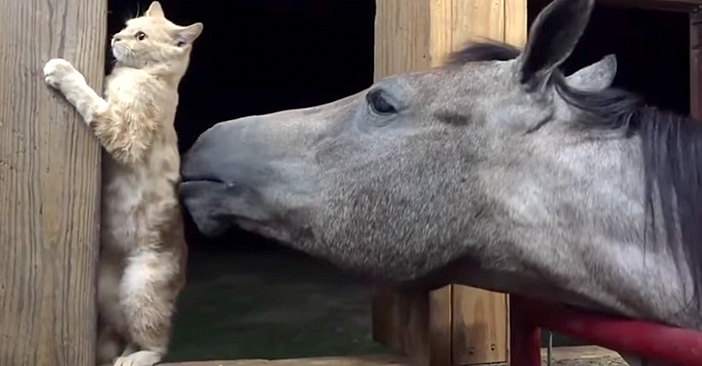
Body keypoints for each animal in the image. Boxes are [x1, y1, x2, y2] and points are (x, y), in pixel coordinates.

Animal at [43, 1, 204, 364]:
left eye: (140, 36)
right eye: (126, 27)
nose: (115, 36)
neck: (145, 76)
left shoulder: (123, 134)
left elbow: (90, 99)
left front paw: (62, 72)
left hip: (141, 290)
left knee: (157, 343)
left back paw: (137, 357)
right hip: (108, 293)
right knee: (126, 333)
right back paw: (123, 355)